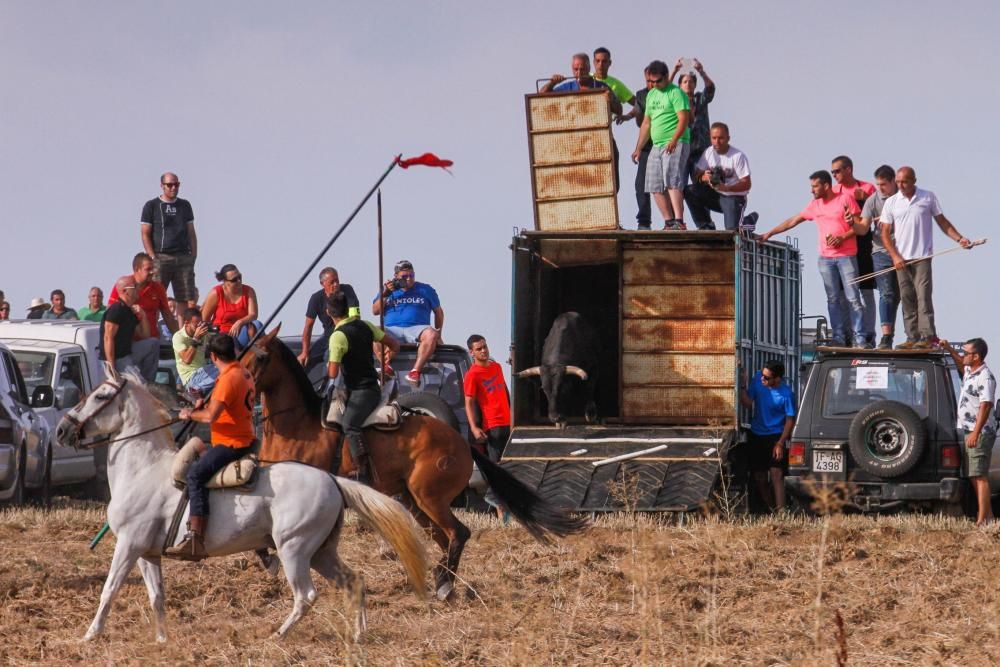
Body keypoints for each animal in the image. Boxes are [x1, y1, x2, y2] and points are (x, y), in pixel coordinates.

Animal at [54, 374, 428, 644]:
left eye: (100, 396)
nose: (61, 429)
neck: (143, 469)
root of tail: (332, 479)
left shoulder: (129, 545)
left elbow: (109, 589)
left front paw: (89, 635)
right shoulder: (147, 552)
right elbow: (156, 596)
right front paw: (162, 640)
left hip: (294, 549)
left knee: (305, 595)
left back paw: (279, 635)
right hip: (321, 552)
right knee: (354, 581)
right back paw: (359, 634)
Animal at [243, 328, 584, 600]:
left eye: (260, 358)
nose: (241, 392)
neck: (299, 423)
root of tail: (463, 443)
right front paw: (268, 560)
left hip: (429, 497)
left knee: (459, 533)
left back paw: (444, 584)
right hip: (415, 501)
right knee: (446, 538)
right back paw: (444, 581)